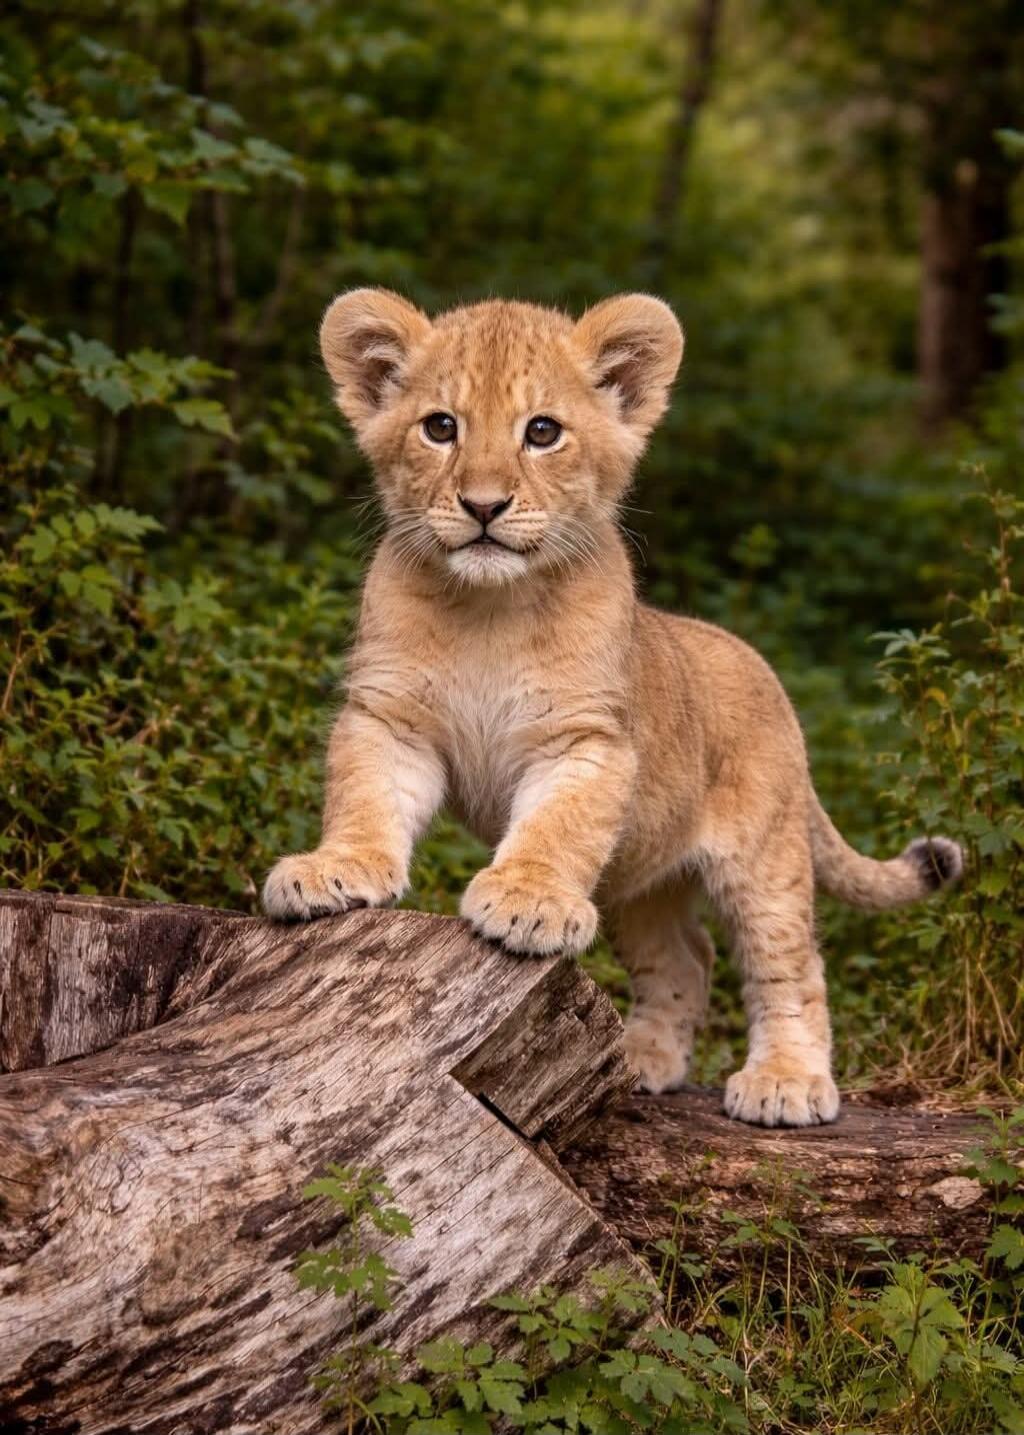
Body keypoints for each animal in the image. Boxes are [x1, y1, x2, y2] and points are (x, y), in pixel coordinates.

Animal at [262, 288, 963, 1126]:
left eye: (542, 431)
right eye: (440, 427)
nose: (484, 505)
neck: (488, 611)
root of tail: (758, 663)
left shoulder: (587, 740)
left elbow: (556, 827)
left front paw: (527, 901)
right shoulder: (389, 718)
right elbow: (364, 796)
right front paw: (334, 870)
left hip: (764, 853)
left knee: (789, 965)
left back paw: (785, 1083)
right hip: (643, 880)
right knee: (685, 960)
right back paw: (638, 1062)